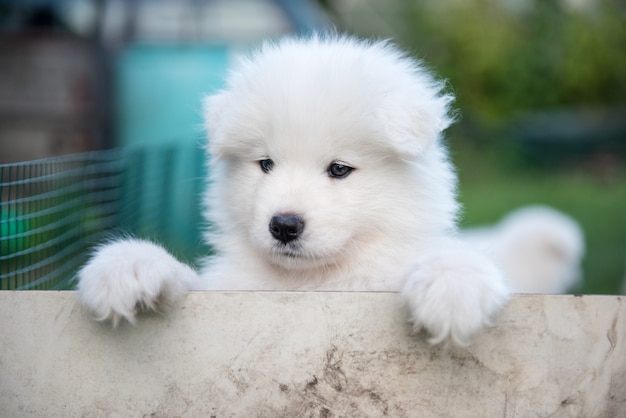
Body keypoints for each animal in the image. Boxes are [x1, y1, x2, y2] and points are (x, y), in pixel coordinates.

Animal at [77, 34, 508, 344]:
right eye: (266, 164)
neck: (309, 282)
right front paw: (128, 265)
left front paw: (451, 285)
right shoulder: (226, 289)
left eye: (339, 169)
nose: (284, 225)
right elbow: (186, 279)